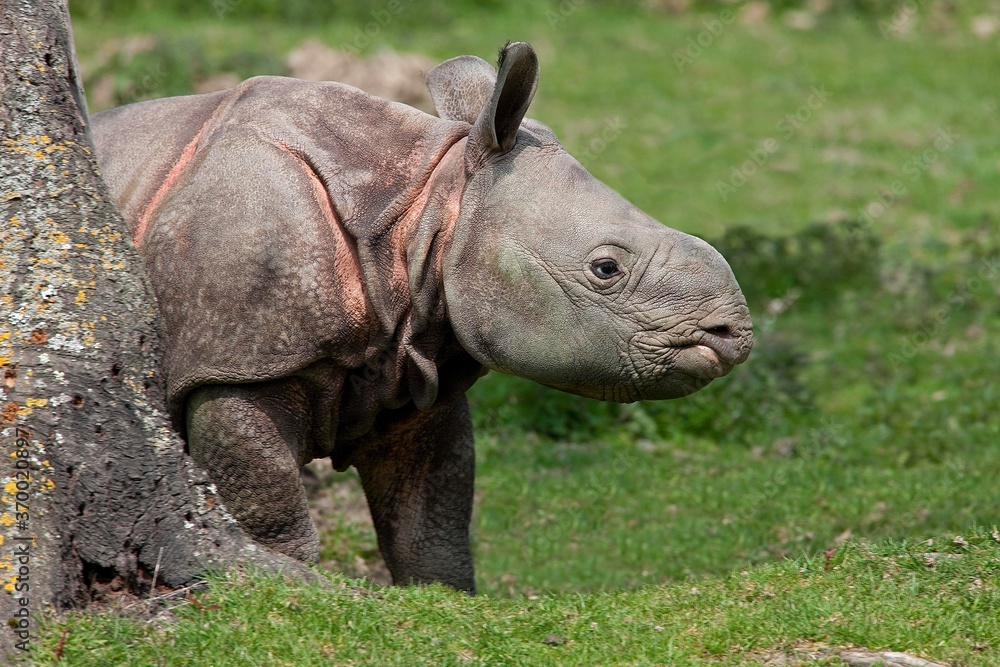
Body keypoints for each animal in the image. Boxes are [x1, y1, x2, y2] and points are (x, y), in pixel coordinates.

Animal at [92, 42, 753, 592]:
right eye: (606, 269)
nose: (731, 335)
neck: (424, 207)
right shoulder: (234, 360)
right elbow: (269, 509)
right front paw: (288, 583)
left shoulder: (418, 363)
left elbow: (431, 521)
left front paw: (444, 599)